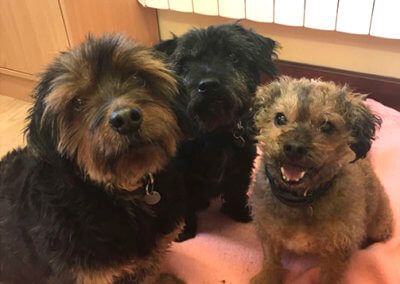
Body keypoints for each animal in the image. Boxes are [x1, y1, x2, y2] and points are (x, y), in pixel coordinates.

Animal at [155, 23, 276, 241]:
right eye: (185, 63)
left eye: (232, 55)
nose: (208, 85)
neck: (215, 134)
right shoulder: (181, 178)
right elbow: (185, 206)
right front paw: (186, 230)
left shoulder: (242, 167)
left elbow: (237, 192)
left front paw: (239, 213)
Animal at [250, 77, 394, 284]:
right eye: (280, 118)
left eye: (326, 126)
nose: (294, 147)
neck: (301, 200)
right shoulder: (268, 232)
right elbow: (271, 261)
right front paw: (267, 277)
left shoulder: (339, 249)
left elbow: (331, 275)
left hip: (380, 225)